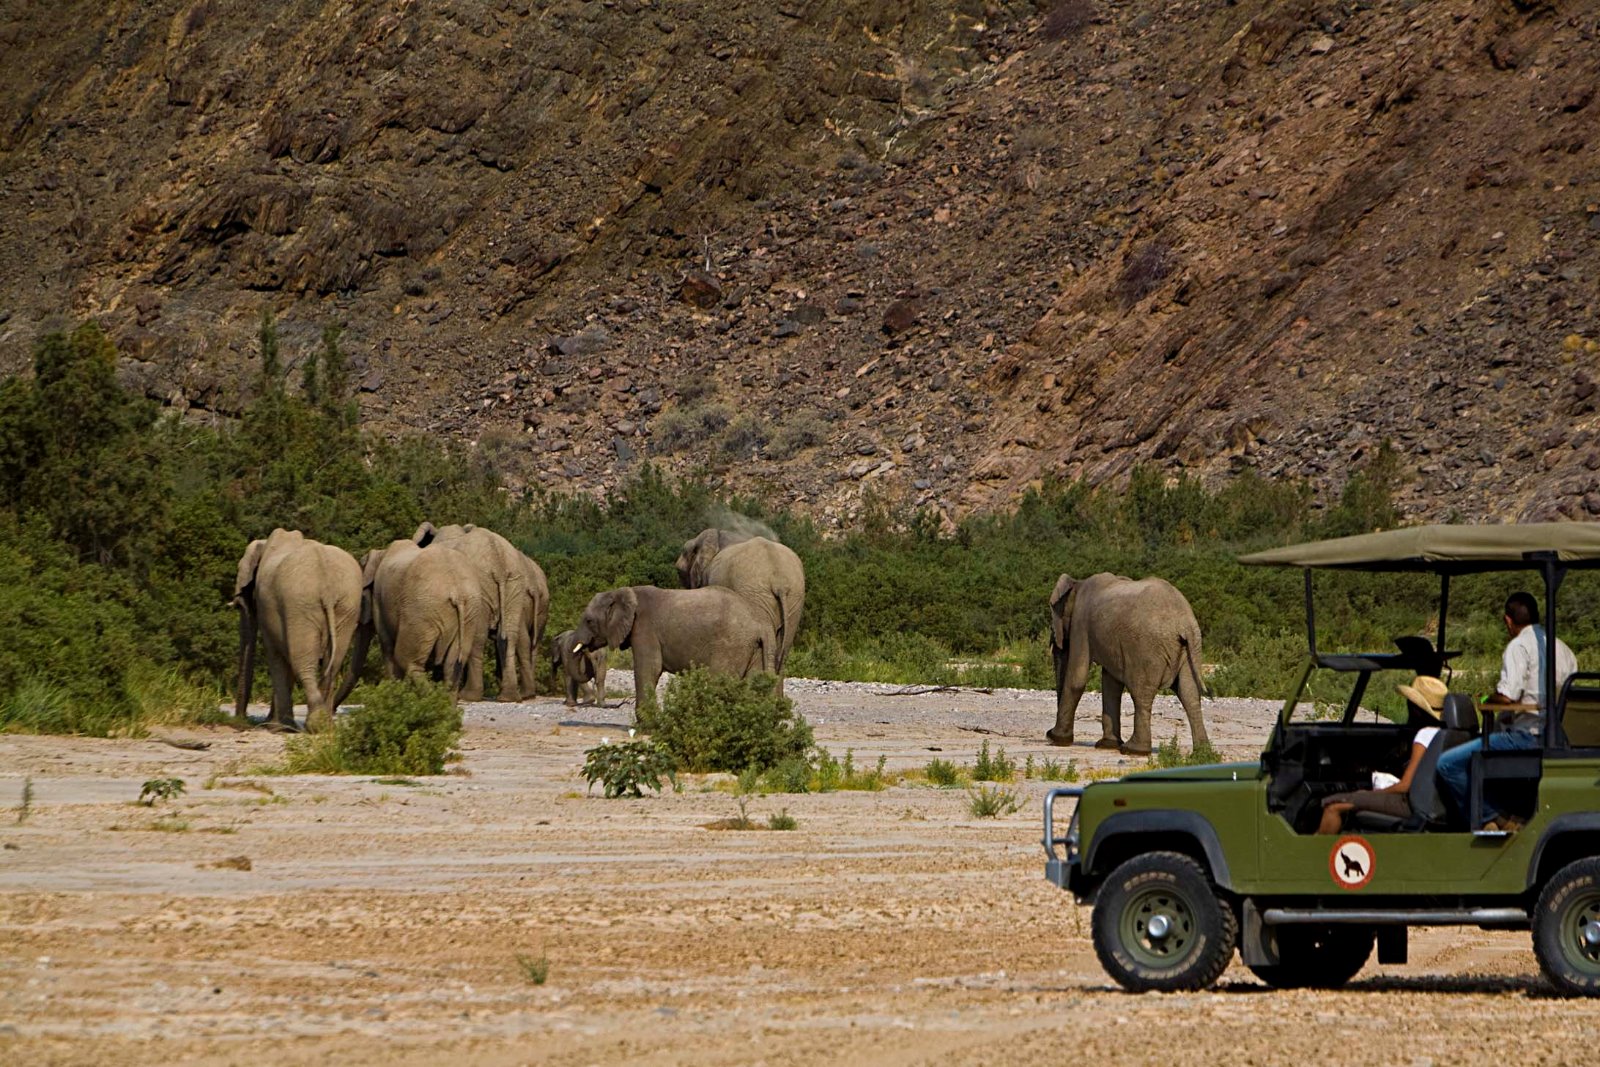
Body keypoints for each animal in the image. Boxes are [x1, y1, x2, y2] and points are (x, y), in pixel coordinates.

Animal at [234, 529, 362, 731]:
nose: (241, 720)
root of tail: (326, 584)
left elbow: (275, 655)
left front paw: (276, 727)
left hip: (301, 603)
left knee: (302, 662)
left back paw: (314, 725)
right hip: (347, 605)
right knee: (332, 663)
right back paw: (325, 725)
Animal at [414, 523, 549, 701]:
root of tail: (499, 563)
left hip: (482, 586)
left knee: (478, 637)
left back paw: (470, 696)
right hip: (515, 584)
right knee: (514, 637)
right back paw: (514, 696)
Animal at [572, 586, 773, 709]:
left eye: (589, 621)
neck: (622, 592)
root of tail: (760, 623)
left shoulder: (645, 630)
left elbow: (649, 669)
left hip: (732, 645)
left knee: (720, 679)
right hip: (752, 647)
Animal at [1047, 572, 1210, 757]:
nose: (1049, 733)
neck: (1077, 583)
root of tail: (1185, 623)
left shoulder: (1080, 623)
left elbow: (1077, 680)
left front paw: (1057, 739)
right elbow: (1111, 685)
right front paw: (1107, 744)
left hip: (1147, 649)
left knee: (1141, 693)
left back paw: (1133, 750)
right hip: (1191, 649)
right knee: (1189, 694)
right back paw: (1202, 753)